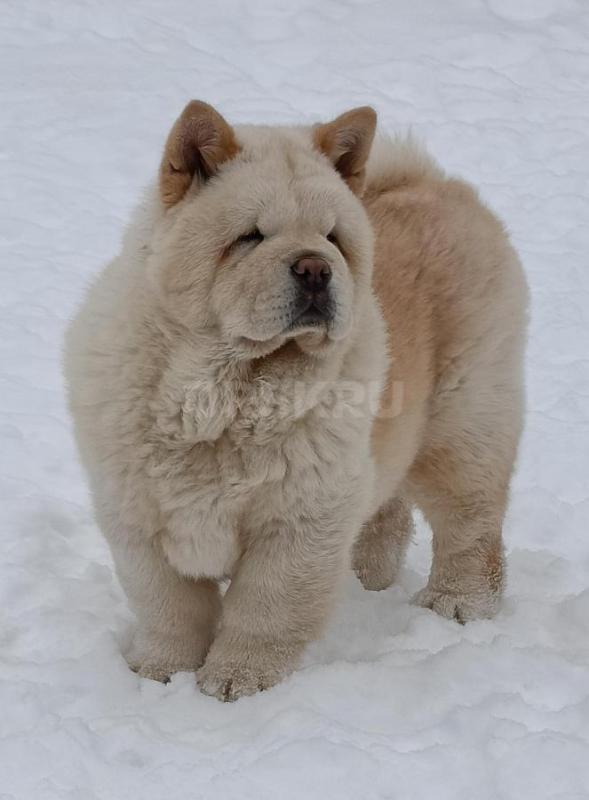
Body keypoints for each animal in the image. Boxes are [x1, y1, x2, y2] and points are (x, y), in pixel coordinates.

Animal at [65, 100, 528, 700]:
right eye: (251, 237)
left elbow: (265, 608)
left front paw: (235, 684)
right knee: (388, 516)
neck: (225, 393)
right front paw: (160, 673)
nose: (315, 267)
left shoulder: (300, 518)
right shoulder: (137, 512)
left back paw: (457, 605)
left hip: (463, 426)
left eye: (332, 237)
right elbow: (168, 607)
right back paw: (366, 582)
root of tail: (436, 182)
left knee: (472, 524)